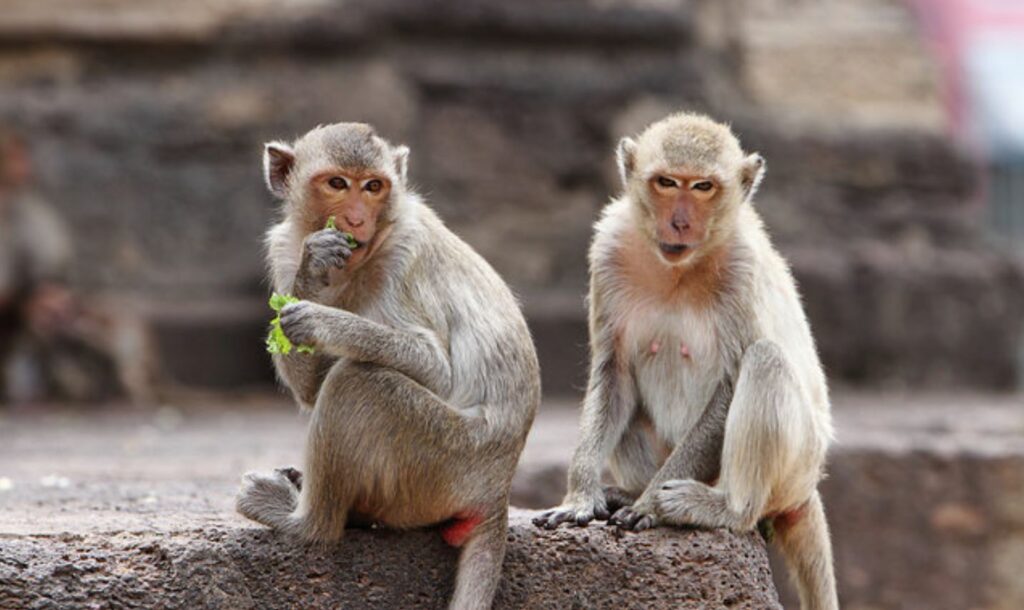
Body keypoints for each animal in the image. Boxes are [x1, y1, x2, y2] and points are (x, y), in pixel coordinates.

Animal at [235, 123, 541, 610]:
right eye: (337, 183)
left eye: (374, 187)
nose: (358, 220)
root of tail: (498, 489)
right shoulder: (283, 249)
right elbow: (310, 385)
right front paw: (314, 267)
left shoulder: (403, 256)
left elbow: (436, 368)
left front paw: (320, 320)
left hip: (444, 462)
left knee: (358, 383)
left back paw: (308, 522)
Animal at [533, 113, 838, 610]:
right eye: (666, 182)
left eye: (702, 187)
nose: (679, 222)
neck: (678, 269)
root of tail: (808, 487)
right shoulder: (609, 249)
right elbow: (614, 373)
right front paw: (581, 494)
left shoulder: (741, 266)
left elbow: (732, 382)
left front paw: (650, 506)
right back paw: (626, 491)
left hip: (798, 463)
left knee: (765, 361)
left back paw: (724, 508)